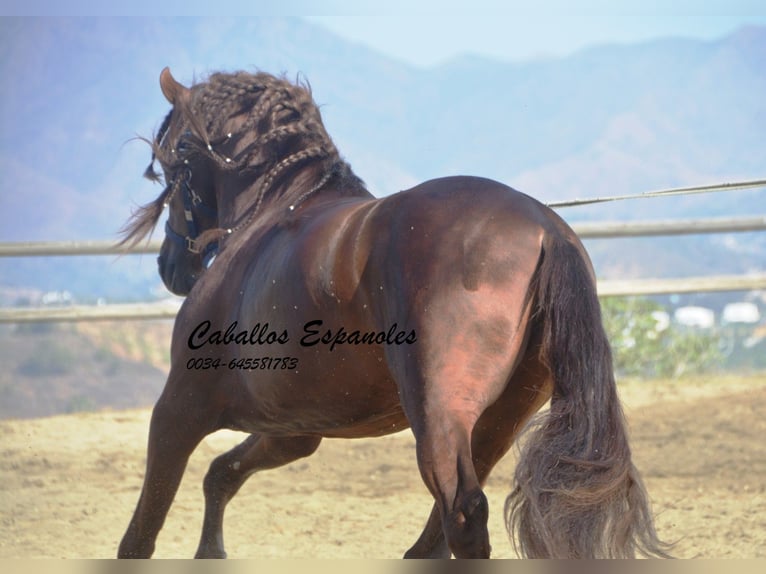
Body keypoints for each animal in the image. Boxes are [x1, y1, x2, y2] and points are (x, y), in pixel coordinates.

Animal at [115, 66, 672, 560]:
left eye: (172, 155)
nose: (172, 266)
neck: (276, 211)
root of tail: (544, 228)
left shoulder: (180, 407)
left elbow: (142, 530)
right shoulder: (292, 431)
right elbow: (221, 475)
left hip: (440, 417)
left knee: (462, 516)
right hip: (500, 418)